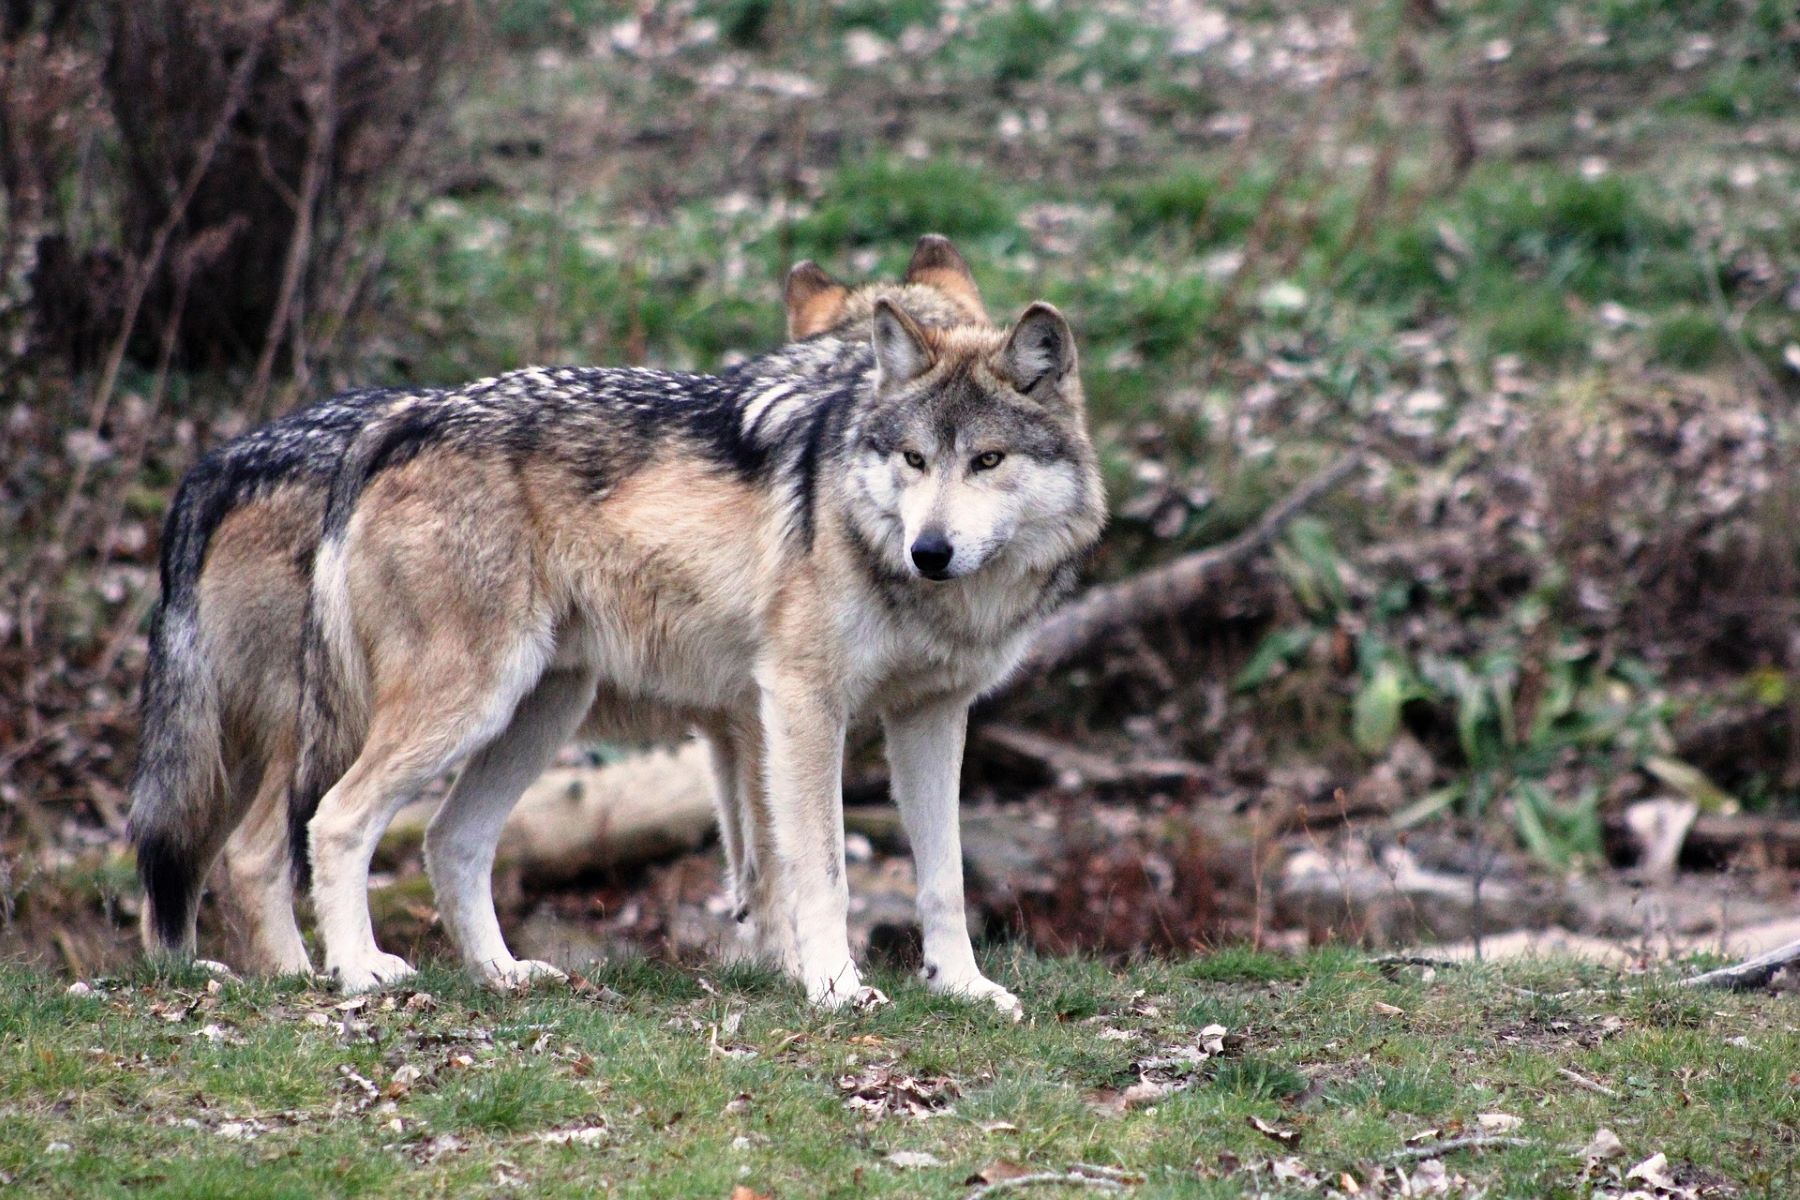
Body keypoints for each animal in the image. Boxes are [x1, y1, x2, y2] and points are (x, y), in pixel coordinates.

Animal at [124, 246, 918, 974]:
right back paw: (327, 973)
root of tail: (218, 465)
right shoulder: (773, 713)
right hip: (389, 717)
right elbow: (786, 863)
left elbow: (758, 862)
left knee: (209, 864)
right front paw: (803, 972)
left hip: (499, 711)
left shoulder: (738, 723)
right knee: (272, 848)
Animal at [292, 235, 1106, 1014]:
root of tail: (404, 419)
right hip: (472, 704)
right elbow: (819, 867)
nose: (929, 551)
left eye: (987, 460)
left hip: (540, 712)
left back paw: (503, 975)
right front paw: (835, 987)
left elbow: (944, 875)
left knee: (450, 840)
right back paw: (360, 970)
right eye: (914, 459)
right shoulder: (799, 703)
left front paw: (962, 986)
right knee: (337, 819)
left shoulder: (930, 715)